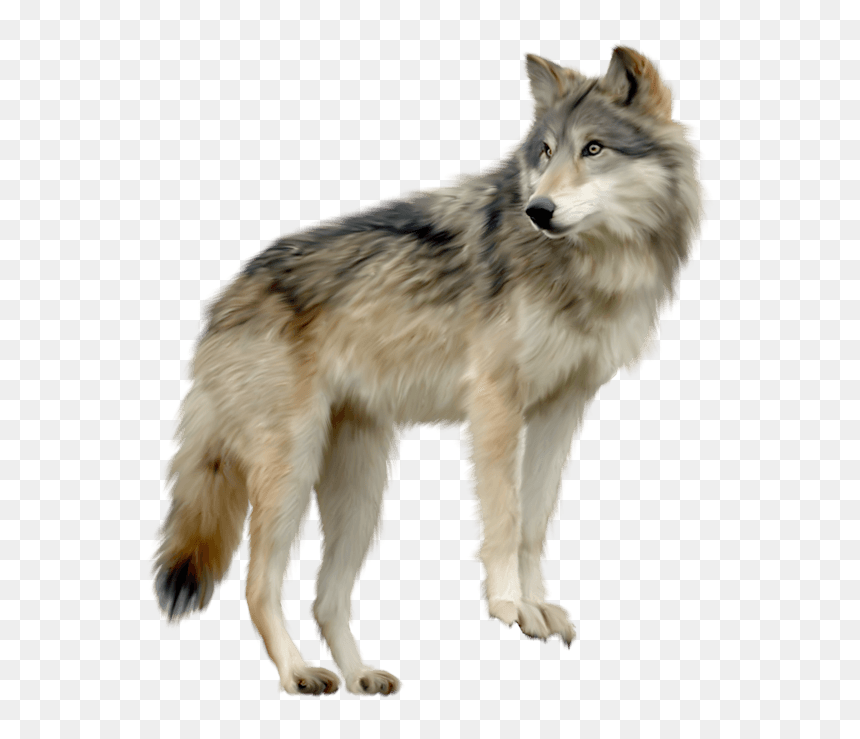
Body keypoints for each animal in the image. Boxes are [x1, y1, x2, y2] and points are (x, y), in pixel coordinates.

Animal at [154, 46, 701, 695]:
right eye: (545, 152)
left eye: (593, 148)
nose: (538, 210)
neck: (591, 267)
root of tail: (226, 298)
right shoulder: (495, 402)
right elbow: (504, 517)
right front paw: (509, 605)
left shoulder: (561, 409)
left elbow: (533, 523)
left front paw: (538, 607)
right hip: (291, 471)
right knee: (258, 584)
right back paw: (299, 673)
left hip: (361, 492)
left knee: (325, 599)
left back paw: (361, 676)